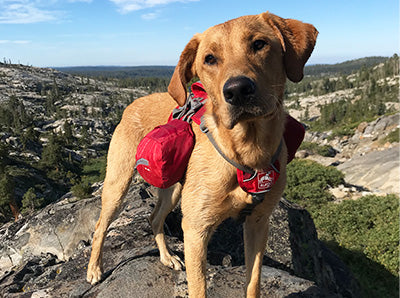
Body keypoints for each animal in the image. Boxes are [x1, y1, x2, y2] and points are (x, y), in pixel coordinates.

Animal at [86, 10, 318, 296]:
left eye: (259, 44)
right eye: (209, 59)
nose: (237, 90)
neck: (247, 150)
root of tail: (132, 103)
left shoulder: (257, 223)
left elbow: (253, 282)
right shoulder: (197, 229)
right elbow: (199, 287)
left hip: (174, 189)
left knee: (154, 218)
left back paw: (166, 257)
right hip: (118, 185)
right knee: (100, 226)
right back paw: (94, 269)